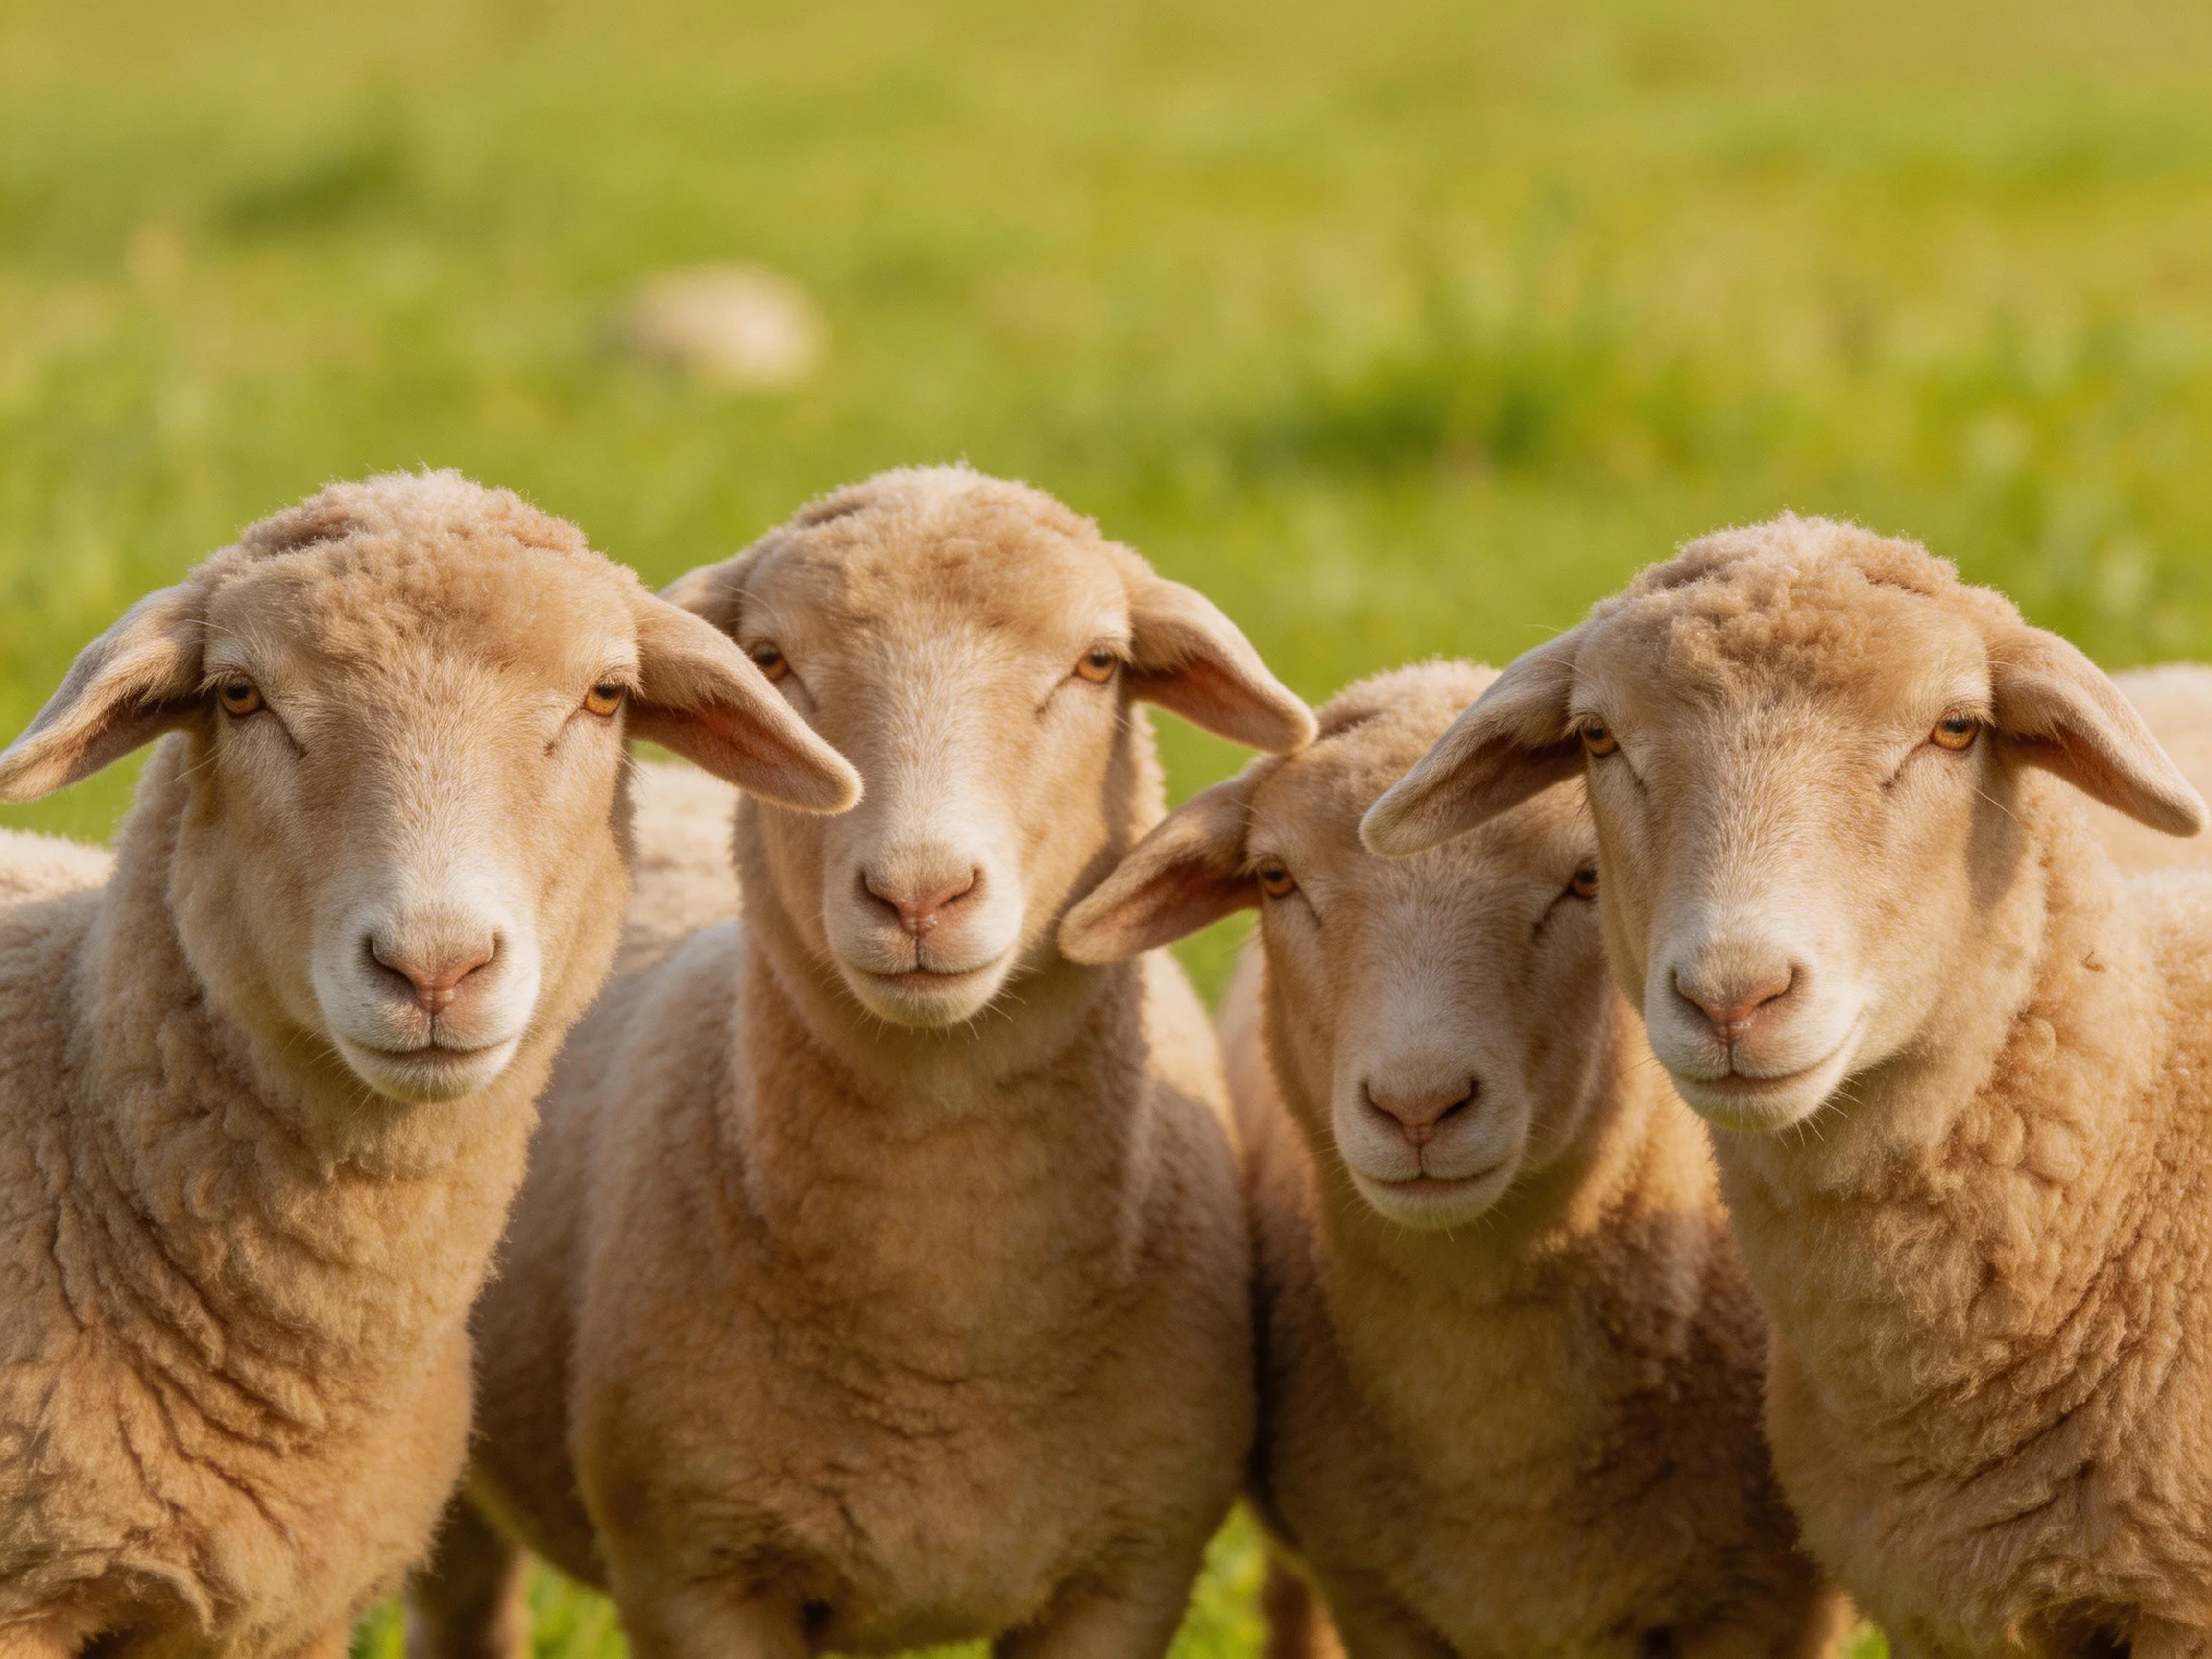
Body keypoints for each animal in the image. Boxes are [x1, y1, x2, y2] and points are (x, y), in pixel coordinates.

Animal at [404, 465, 1316, 1659]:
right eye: (773, 659)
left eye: (1097, 663)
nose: (919, 895)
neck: (946, 1321)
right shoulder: (697, 1575)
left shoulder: (1132, 1572)